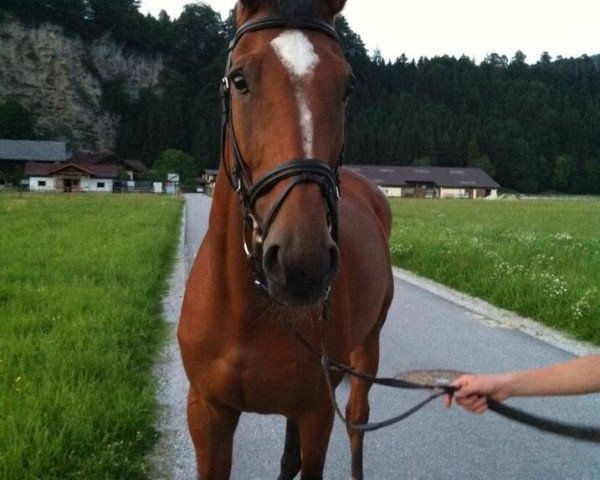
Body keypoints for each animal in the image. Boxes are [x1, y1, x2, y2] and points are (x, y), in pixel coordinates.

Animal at [178, 1, 394, 478]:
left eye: (347, 87)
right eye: (240, 78)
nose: (302, 262)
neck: (248, 308)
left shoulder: (317, 412)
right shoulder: (207, 414)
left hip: (367, 349)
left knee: (357, 419)